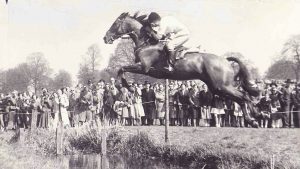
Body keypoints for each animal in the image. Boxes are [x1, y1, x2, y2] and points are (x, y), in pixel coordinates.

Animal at [103, 12, 260, 127]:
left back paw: (254, 118)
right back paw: (255, 117)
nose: (105, 38)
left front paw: (124, 86)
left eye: (115, 23)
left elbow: (121, 69)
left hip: (221, 86)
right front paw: (127, 87)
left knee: (244, 97)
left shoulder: (144, 68)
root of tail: (225, 60)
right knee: (243, 97)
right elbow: (122, 69)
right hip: (217, 88)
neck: (146, 42)